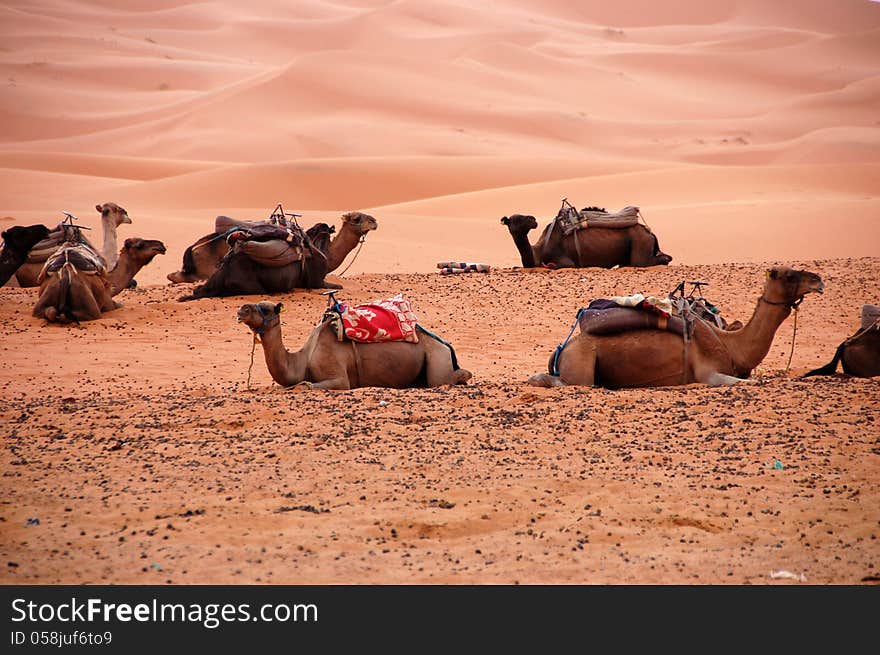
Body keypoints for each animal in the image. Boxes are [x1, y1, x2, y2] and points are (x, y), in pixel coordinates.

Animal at [33, 238, 168, 326]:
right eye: (140, 244)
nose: (161, 245)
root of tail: (66, 271)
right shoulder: (108, 302)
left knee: (49, 311)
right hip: (90, 306)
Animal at [502, 205, 672, 270]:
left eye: (523, 218)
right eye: (518, 219)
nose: (533, 219)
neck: (539, 250)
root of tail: (649, 232)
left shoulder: (566, 261)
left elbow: (552, 266)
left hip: (640, 245)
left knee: (653, 260)